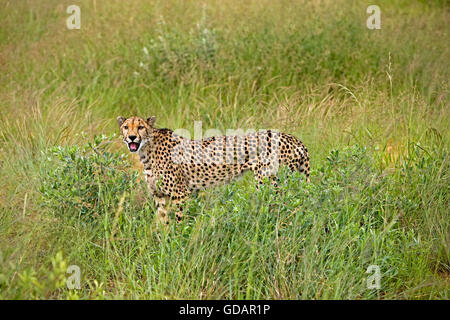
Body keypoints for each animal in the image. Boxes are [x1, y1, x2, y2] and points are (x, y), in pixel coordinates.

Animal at [118, 115, 312, 225]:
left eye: (140, 127)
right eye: (126, 127)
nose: (132, 137)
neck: (146, 148)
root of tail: (294, 138)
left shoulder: (180, 194)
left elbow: (179, 221)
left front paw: (178, 242)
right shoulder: (159, 196)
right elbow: (162, 221)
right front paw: (163, 243)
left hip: (269, 183)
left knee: (283, 206)